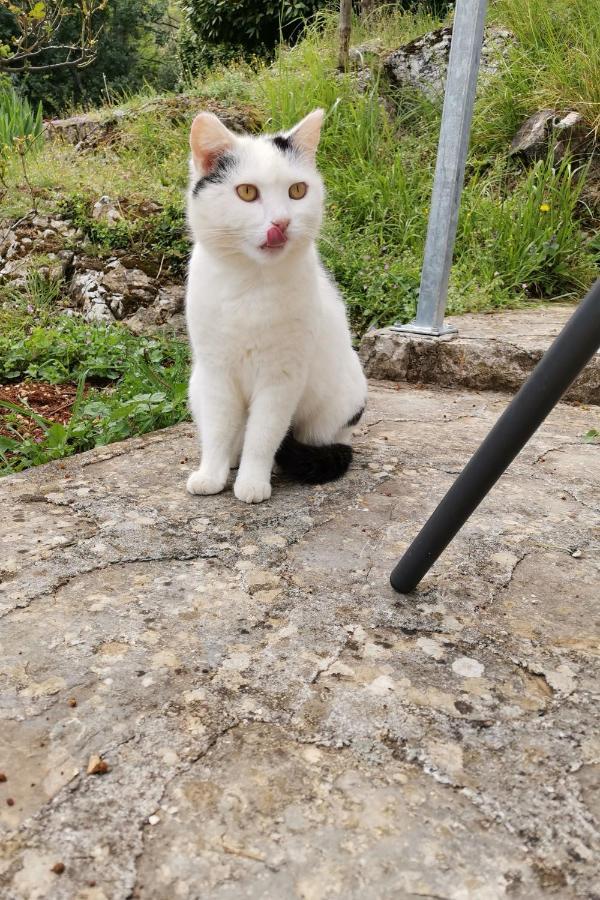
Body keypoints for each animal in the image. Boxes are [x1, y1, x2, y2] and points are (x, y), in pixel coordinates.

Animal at [186, 108, 366, 502]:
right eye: (247, 192)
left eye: (297, 191)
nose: (281, 222)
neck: (250, 285)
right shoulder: (216, 372)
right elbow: (219, 431)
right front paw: (211, 474)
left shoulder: (281, 377)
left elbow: (264, 435)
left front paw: (253, 482)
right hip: (196, 384)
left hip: (336, 405)